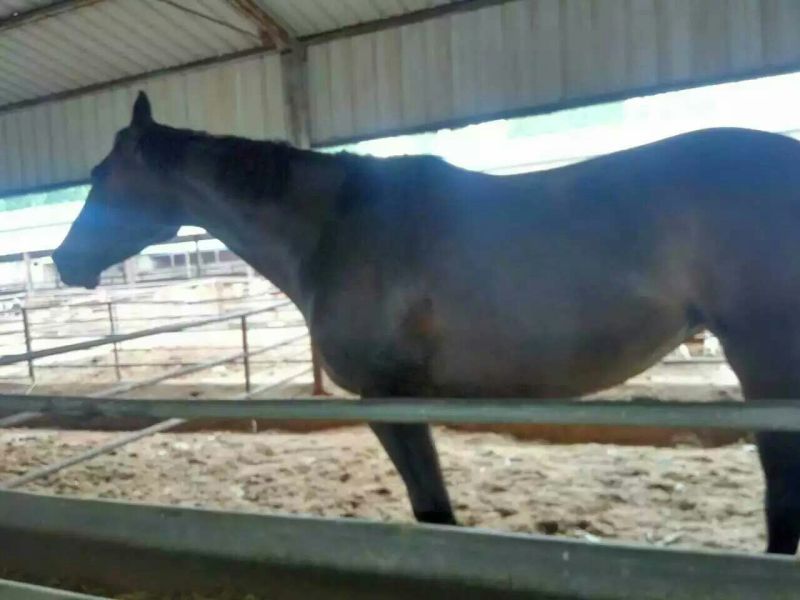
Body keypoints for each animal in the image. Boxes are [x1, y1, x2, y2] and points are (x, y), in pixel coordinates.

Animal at [53, 92, 800, 554]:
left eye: (101, 174)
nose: (64, 260)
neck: (335, 229)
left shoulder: (390, 401)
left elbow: (434, 515)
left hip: (765, 365)